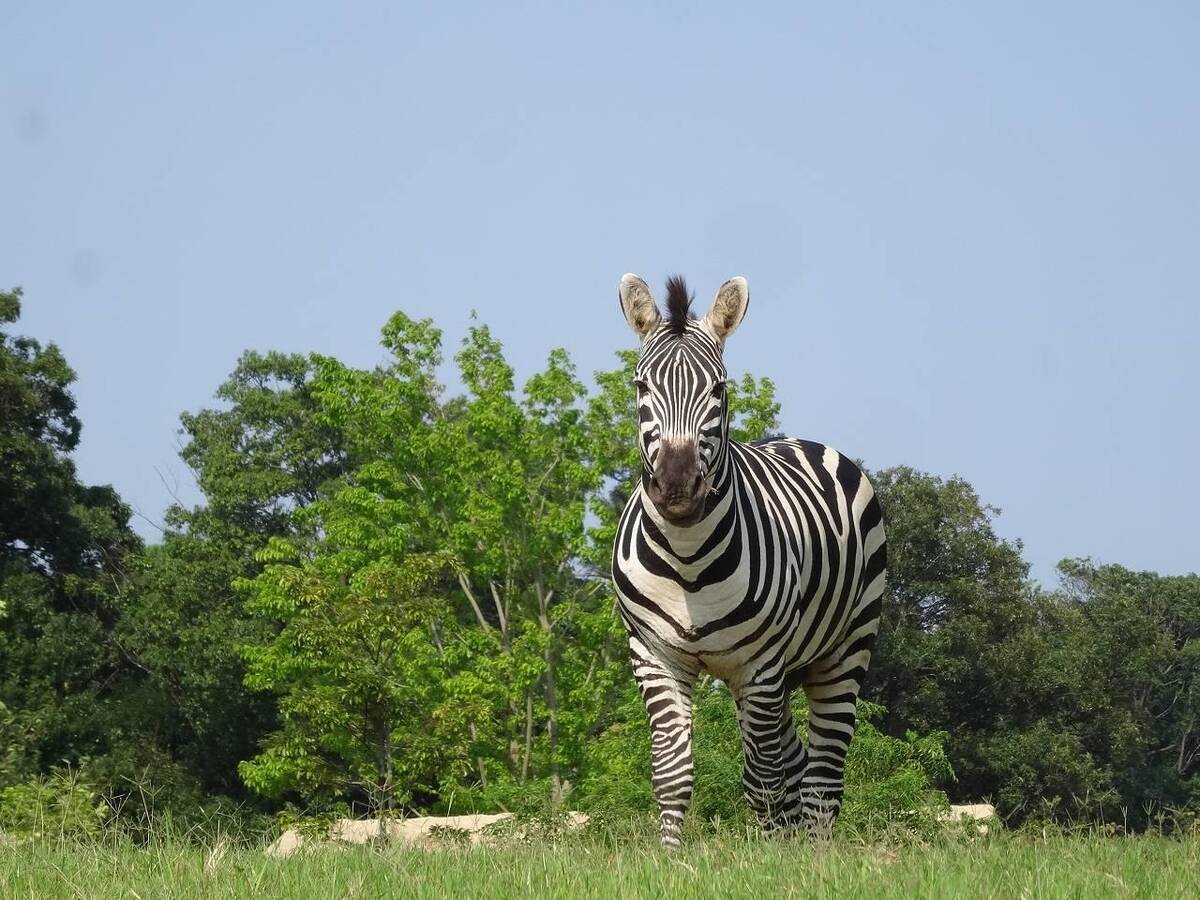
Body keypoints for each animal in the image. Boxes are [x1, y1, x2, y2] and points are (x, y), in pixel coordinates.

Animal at [614, 273, 888, 844]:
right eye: (641, 387)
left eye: (718, 389)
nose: (677, 487)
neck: (688, 560)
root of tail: (805, 441)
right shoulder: (654, 657)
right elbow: (673, 774)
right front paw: (668, 855)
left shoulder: (758, 665)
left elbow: (763, 781)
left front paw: (770, 858)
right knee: (796, 763)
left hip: (844, 649)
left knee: (821, 777)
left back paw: (815, 853)